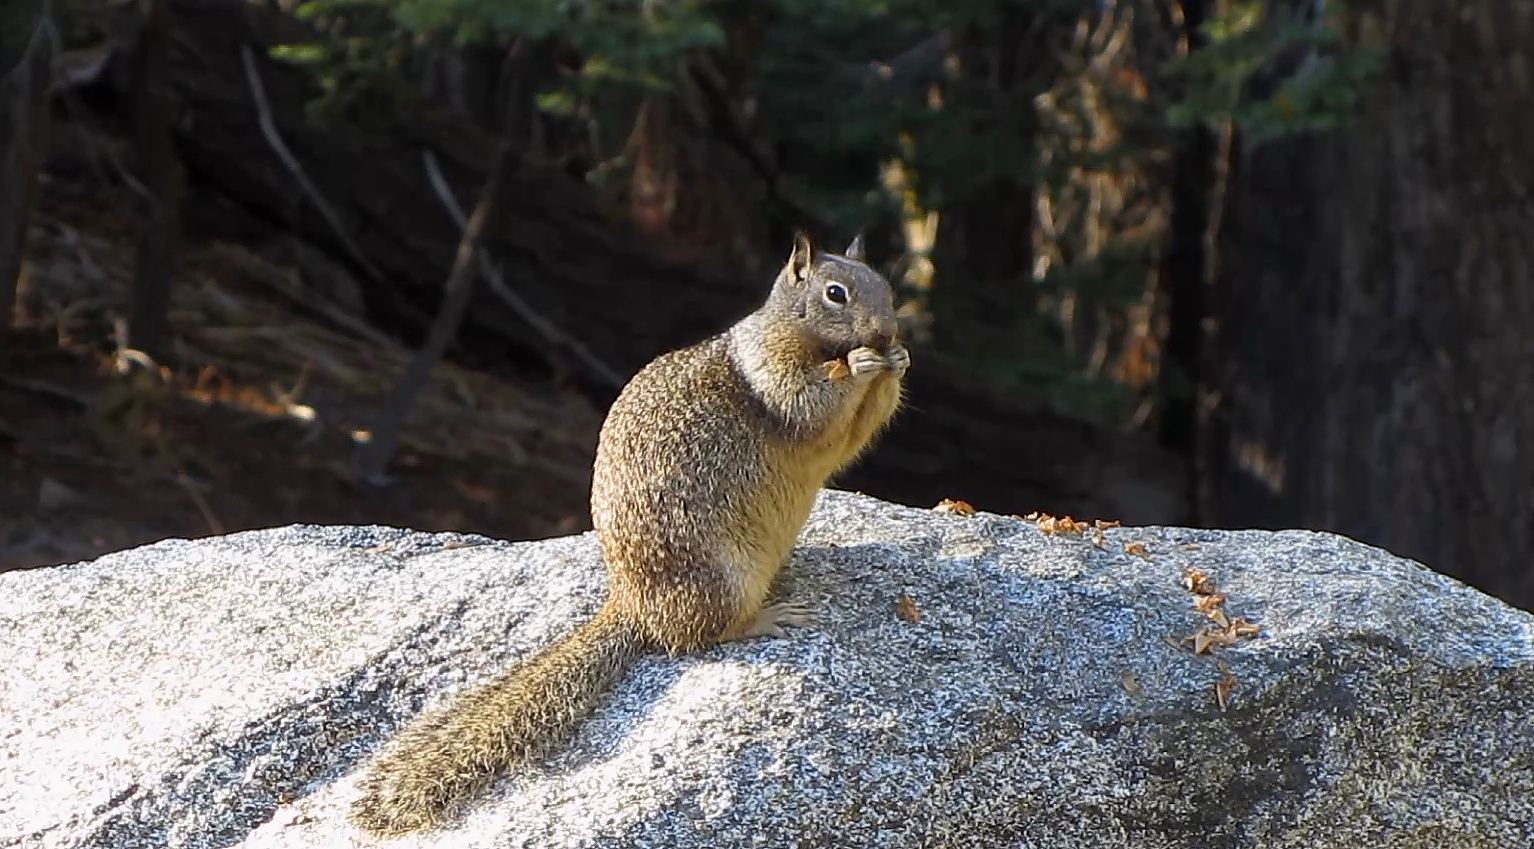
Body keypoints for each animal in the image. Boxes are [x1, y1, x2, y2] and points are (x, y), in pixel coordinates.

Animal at [348, 228, 908, 829]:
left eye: (886, 287)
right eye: (835, 294)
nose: (887, 331)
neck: (803, 338)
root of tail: (632, 604)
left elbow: (854, 434)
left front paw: (897, 360)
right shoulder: (772, 373)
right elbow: (812, 405)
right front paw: (861, 364)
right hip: (719, 581)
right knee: (699, 636)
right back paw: (766, 617)